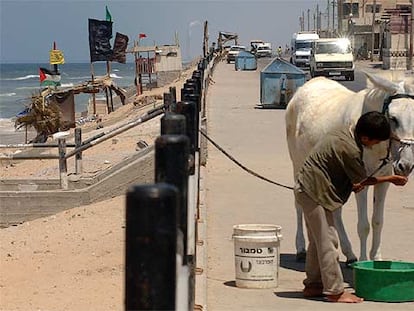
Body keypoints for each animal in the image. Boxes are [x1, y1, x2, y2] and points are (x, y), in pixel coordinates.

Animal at [286, 72, 412, 264]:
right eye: (393, 118)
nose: (406, 165)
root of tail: (305, 87)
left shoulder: (383, 181)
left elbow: (378, 221)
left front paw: (376, 259)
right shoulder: (361, 181)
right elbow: (364, 225)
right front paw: (363, 260)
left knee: (334, 208)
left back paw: (349, 253)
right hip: (297, 163)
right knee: (298, 202)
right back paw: (301, 248)